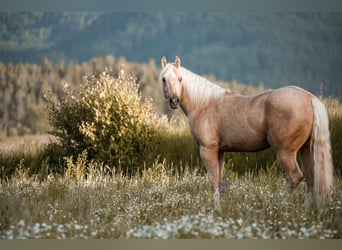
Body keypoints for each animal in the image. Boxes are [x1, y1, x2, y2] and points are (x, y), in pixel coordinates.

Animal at [160, 55, 334, 209]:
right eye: (164, 79)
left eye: (180, 79)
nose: (174, 101)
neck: (204, 104)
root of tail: (310, 99)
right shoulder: (220, 151)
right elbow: (219, 181)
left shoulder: (207, 150)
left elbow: (213, 182)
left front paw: (216, 210)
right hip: (306, 149)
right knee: (311, 180)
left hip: (285, 152)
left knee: (295, 177)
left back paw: (279, 207)